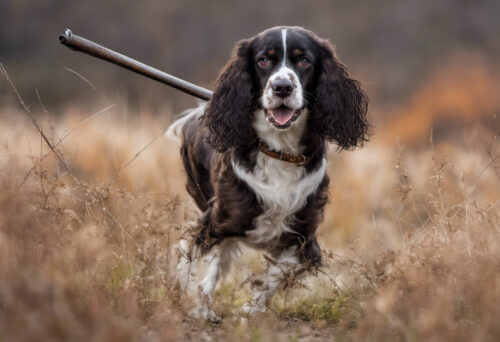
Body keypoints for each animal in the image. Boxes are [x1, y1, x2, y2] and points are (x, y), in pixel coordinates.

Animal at [167, 26, 368, 320]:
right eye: (264, 60)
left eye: (304, 61)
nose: (282, 87)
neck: (279, 150)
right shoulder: (219, 221)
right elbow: (205, 264)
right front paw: (201, 308)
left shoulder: (304, 235)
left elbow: (280, 272)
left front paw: (251, 307)